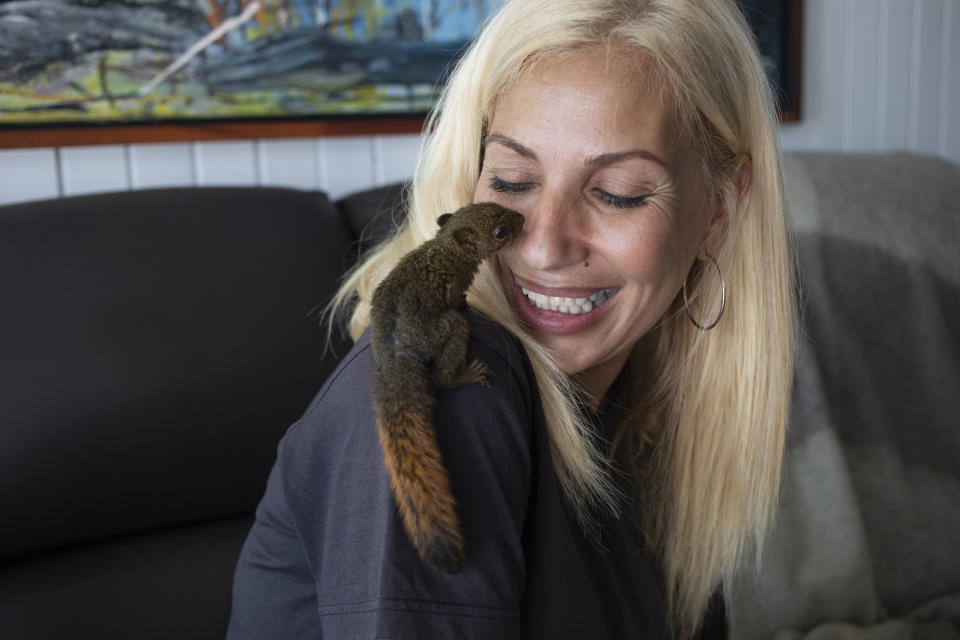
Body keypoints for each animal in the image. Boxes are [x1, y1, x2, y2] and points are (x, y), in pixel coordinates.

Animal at [372, 202, 528, 572]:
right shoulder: (455, 284)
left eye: (499, 207)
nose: (523, 219)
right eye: (500, 232)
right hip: (449, 329)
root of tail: (397, 355)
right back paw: (464, 375)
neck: (445, 245)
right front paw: (468, 303)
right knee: (442, 376)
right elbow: (457, 299)